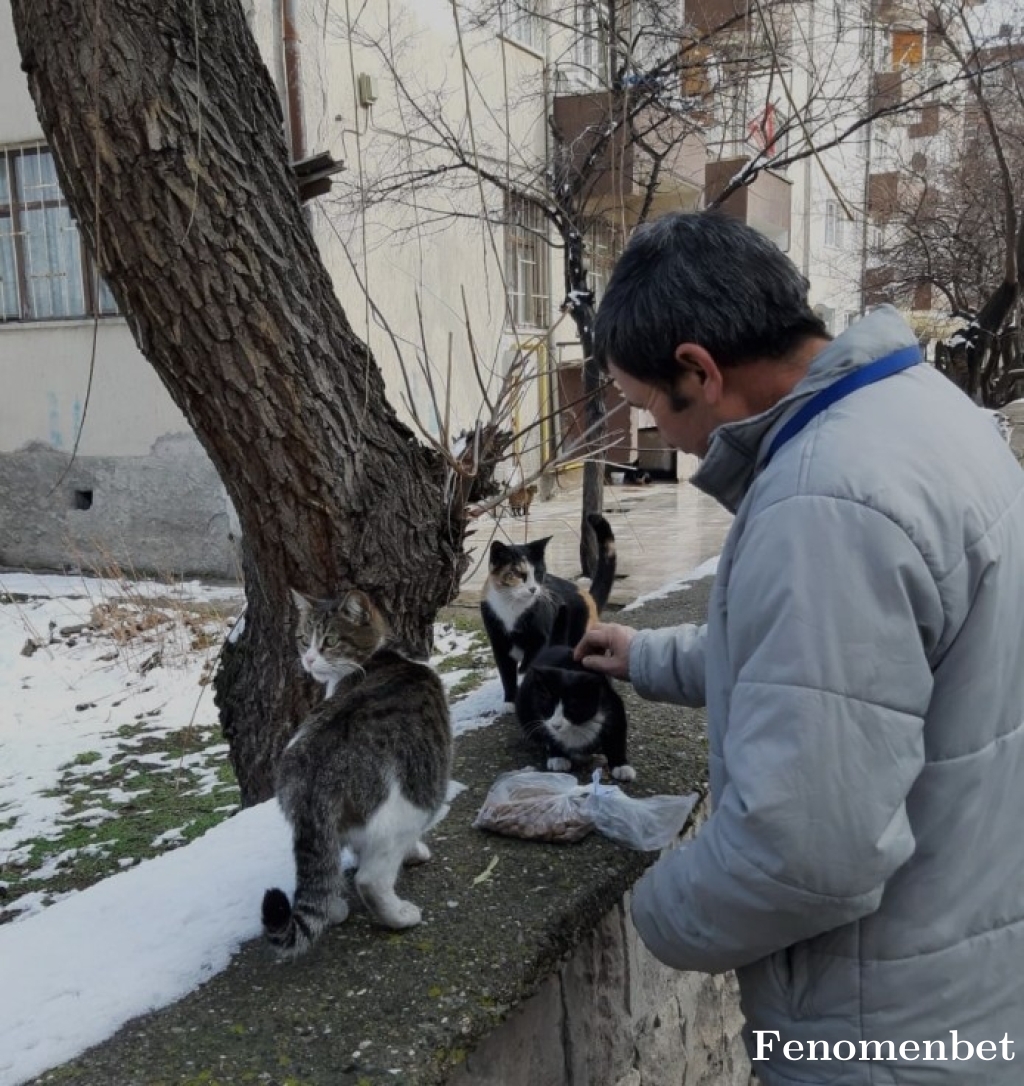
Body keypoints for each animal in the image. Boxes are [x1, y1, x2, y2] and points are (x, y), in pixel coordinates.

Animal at [262, 586, 449, 960]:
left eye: (330, 641)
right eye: (303, 639)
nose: (308, 660)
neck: (380, 655)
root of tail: (316, 770)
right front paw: (415, 853)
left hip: (318, 826)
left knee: (324, 872)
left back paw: (333, 908)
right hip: (409, 806)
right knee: (370, 879)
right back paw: (399, 916)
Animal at [482, 510, 616, 703]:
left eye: (538, 572)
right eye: (518, 574)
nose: (533, 589)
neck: (512, 606)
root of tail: (586, 594)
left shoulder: (541, 637)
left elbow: (530, 660)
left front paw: (525, 676)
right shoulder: (498, 643)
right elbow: (506, 674)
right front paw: (510, 700)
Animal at [516, 642, 638, 781]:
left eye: (572, 708)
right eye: (549, 706)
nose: (556, 725)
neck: (577, 725)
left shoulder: (612, 703)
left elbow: (616, 734)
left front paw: (622, 766)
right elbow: (548, 731)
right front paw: (558, 757)